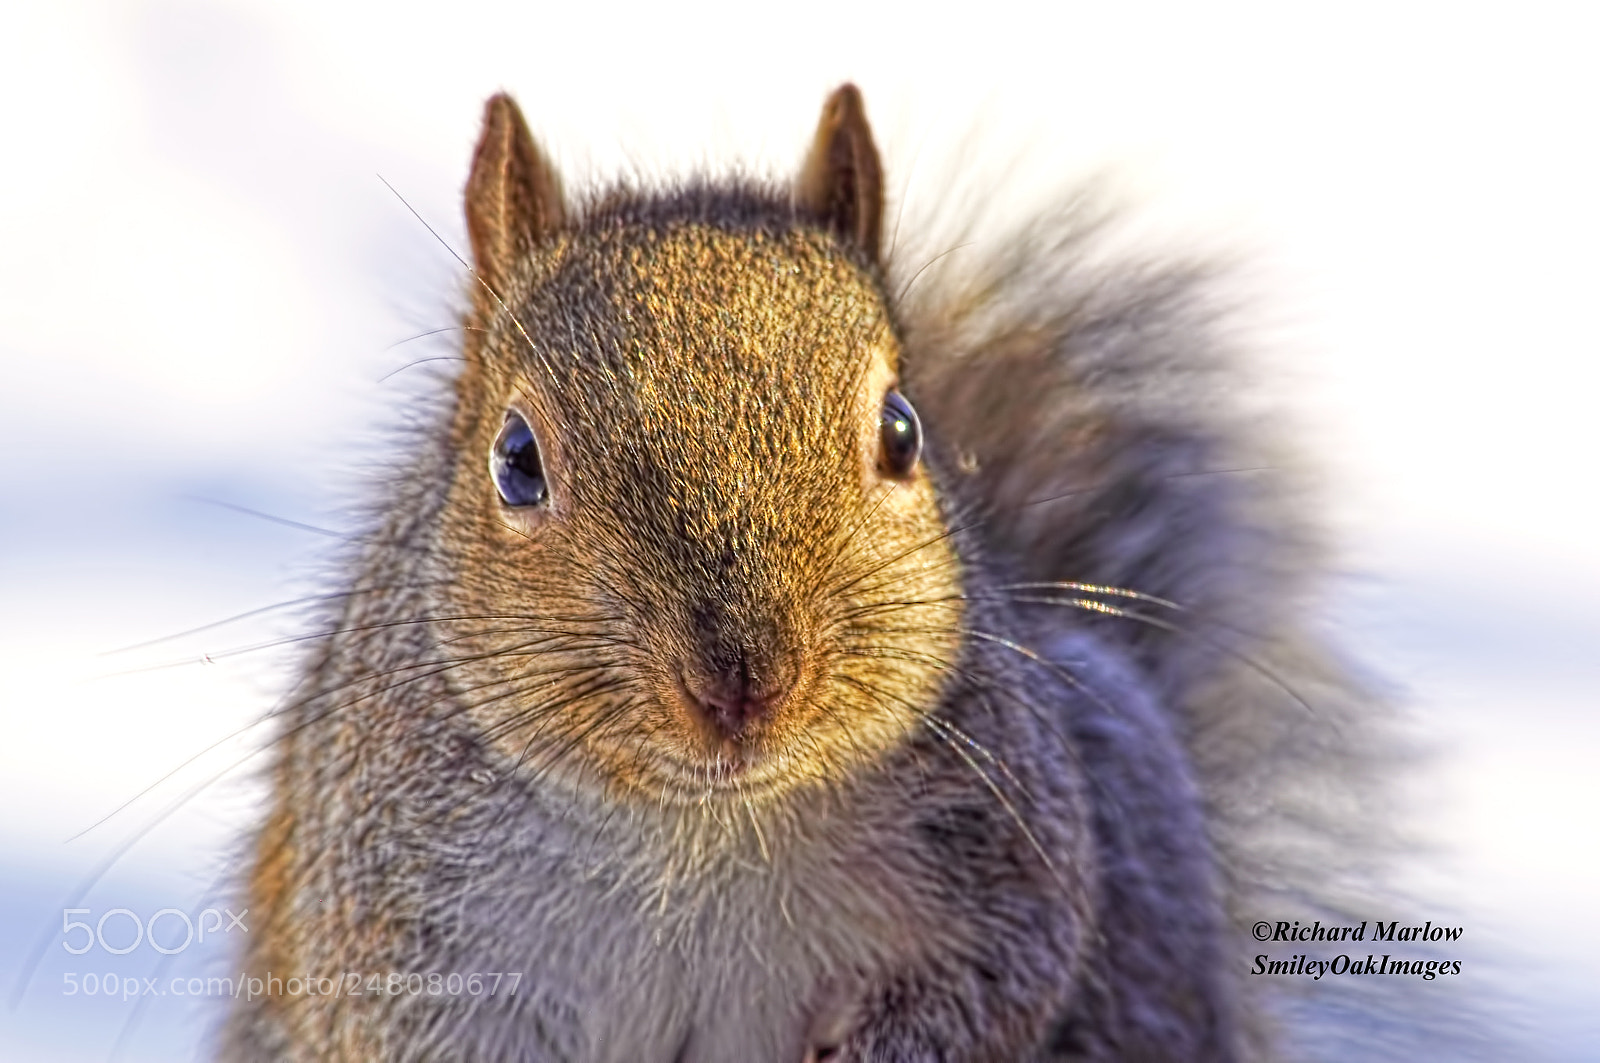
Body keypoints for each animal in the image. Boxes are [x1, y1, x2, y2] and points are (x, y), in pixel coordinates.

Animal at [219, 85, 1453, 1061]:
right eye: (515, 461)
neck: (699, 838)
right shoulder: (393, 921)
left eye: (903, 430)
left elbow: (995, 987)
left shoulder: (1010, 867)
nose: (743, 683)